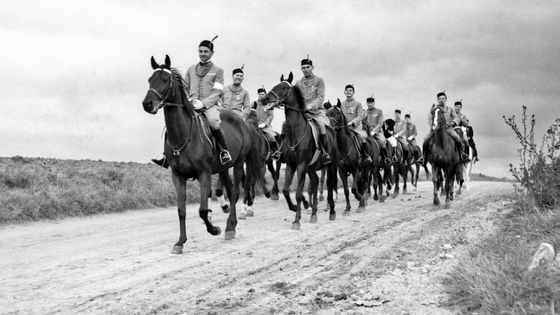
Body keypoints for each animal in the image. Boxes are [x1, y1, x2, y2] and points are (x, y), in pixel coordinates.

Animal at [142, 55, 260, 254]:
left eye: (165, 79)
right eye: (150, 79)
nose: (147, 104)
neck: (183, 134)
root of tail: (242, 121)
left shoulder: (204, 174)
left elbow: (203, 210)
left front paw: (214, 229)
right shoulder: (178, 176)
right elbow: (181, 210)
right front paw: (180, 242)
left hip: (238, 164)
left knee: (236, 191)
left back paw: (229, 227)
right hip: (223, 168)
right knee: (230, 191)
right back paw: (232, 224)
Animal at [260, 72, 336, 230]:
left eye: (283, 87)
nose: (264, 99)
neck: (296, 131)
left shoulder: (301, 165)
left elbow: (299, 193)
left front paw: (296, 220)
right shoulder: (291, 164)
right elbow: (286, 190)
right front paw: (295, 207)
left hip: (331, 165)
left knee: (330, 185)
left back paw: (332, 211)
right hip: (311, 168)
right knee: (315, 182)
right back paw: (314, 214)